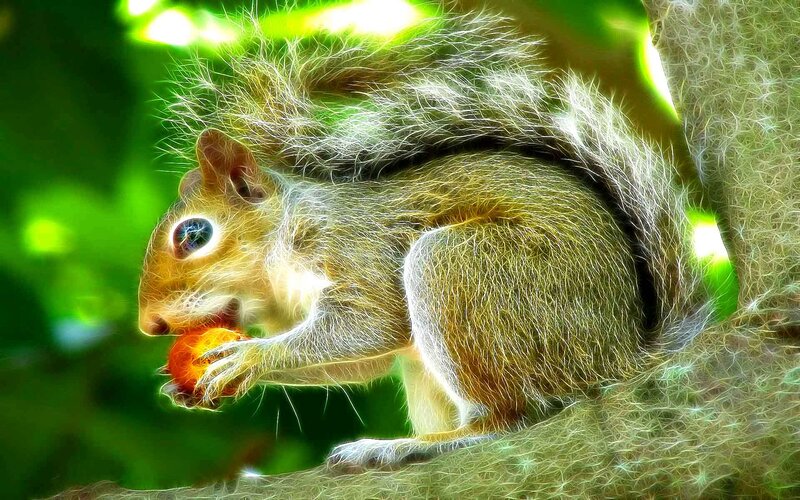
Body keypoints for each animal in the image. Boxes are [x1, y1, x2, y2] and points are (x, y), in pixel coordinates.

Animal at [138, 10, 708, 470]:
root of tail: (620, 358)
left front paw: (251, 357)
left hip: (463, 273)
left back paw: (410, 445)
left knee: (509, 418)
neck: (278, 267)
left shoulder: (354, 248)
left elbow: (370, 326)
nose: (150, 325)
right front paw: (182, 383)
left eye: (194, 234)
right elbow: (362, 361)